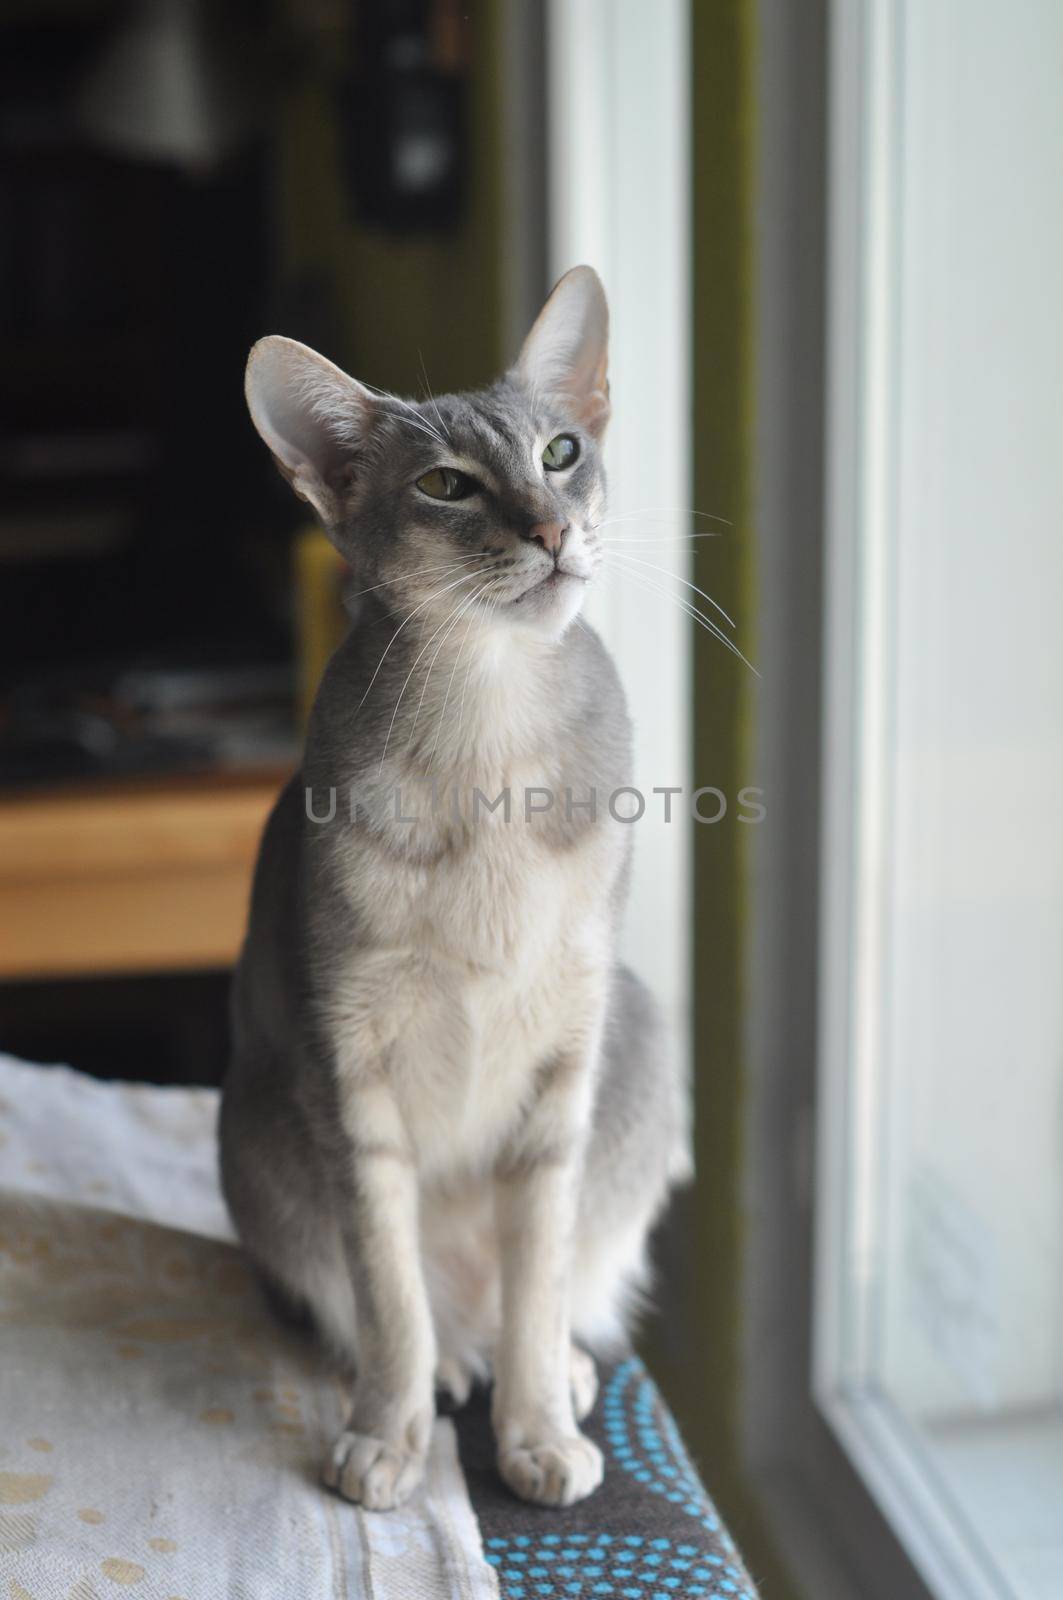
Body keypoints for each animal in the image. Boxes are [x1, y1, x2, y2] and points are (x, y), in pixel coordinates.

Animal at [219, 265, 694, 1510]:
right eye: (446, 485)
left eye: (562, 452)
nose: (552, 527)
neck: (489, 747)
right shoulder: (349, 1067)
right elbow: (389, 1294)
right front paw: (387, 1435)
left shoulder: (565, 1061)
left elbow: (539, 1283)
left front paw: (535, 1432)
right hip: (259, 1124)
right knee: (409, 1314)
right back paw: (436, 1377)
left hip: (637, 1037)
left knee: (526, 1303)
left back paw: (555, 1373)